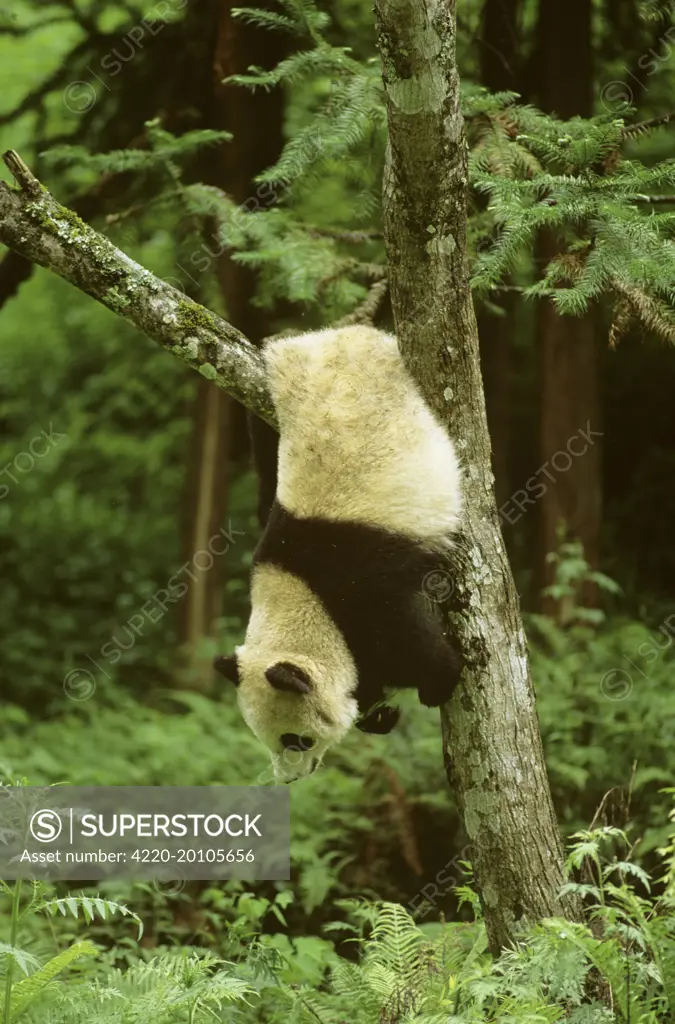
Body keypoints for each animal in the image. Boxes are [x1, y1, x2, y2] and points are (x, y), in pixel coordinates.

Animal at [216, 327, 465, 782]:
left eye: (295, 740)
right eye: (267, 740)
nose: (290, 778)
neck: (299, 593)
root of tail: (338, 333)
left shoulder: (357, 578)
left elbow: (406, 637)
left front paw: (437, 680)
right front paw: (375, 710)